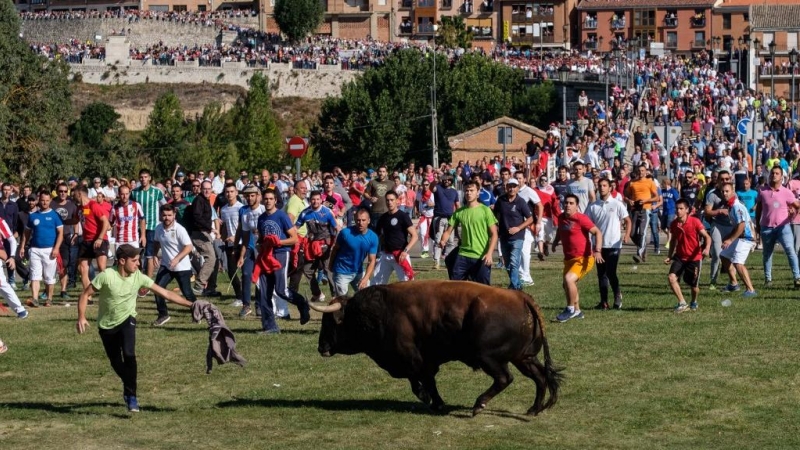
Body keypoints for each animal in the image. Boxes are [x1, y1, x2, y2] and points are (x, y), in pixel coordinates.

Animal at [308, 280, 564, 416]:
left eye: (329, 322)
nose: (321, 347)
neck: (378, 311)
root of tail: (520, 297)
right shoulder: (425, 362)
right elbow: (425, 381)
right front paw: (436, 402)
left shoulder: (413, 359)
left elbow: (419, 382)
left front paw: (430, 400)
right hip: (524, 358)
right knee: (540, 377)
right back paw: (533, 409)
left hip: (488, 358)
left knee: (504, 378)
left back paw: (479, 405)